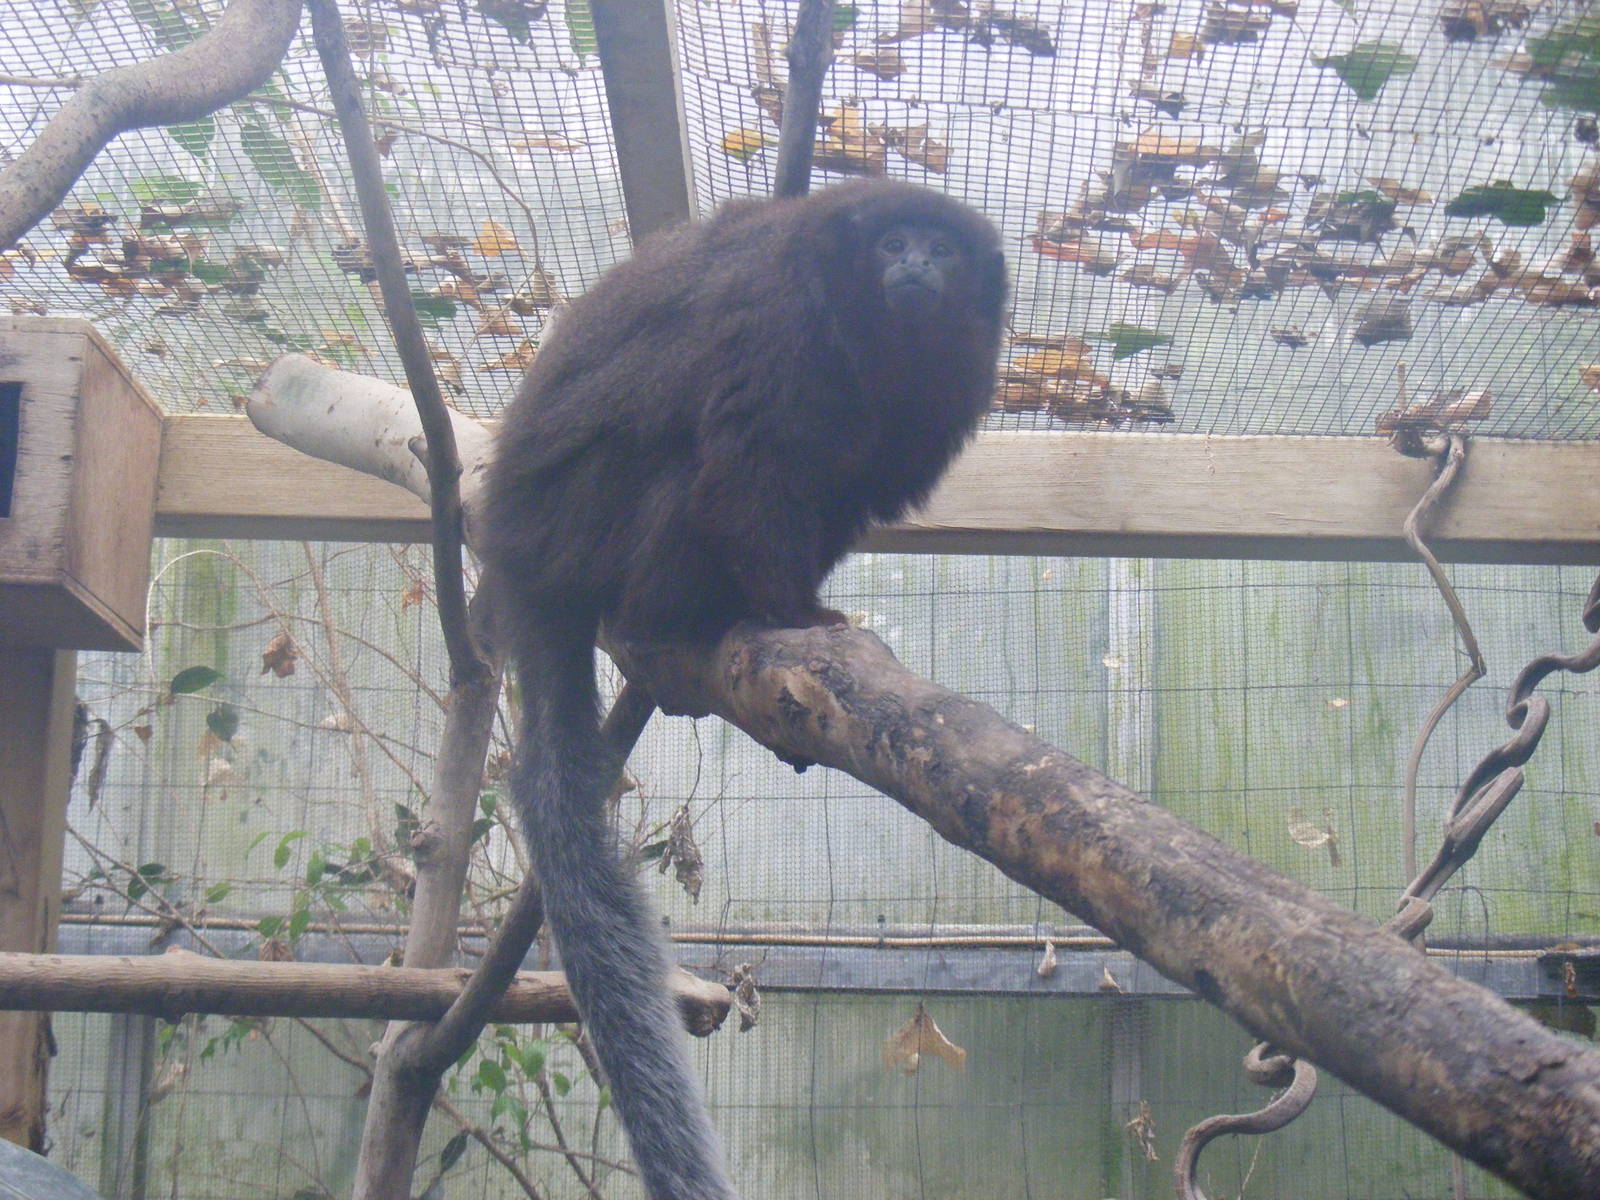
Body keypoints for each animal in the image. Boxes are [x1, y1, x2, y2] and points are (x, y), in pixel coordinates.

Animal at [480, 179, 1006, 1200]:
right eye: (893, 242)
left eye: (942, 250)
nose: (916, 264)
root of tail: (526, 566)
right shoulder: (781, 316)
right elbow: (748, 465)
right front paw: (794, 612)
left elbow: (841, 491)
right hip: (600, 524)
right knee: (695, 465)